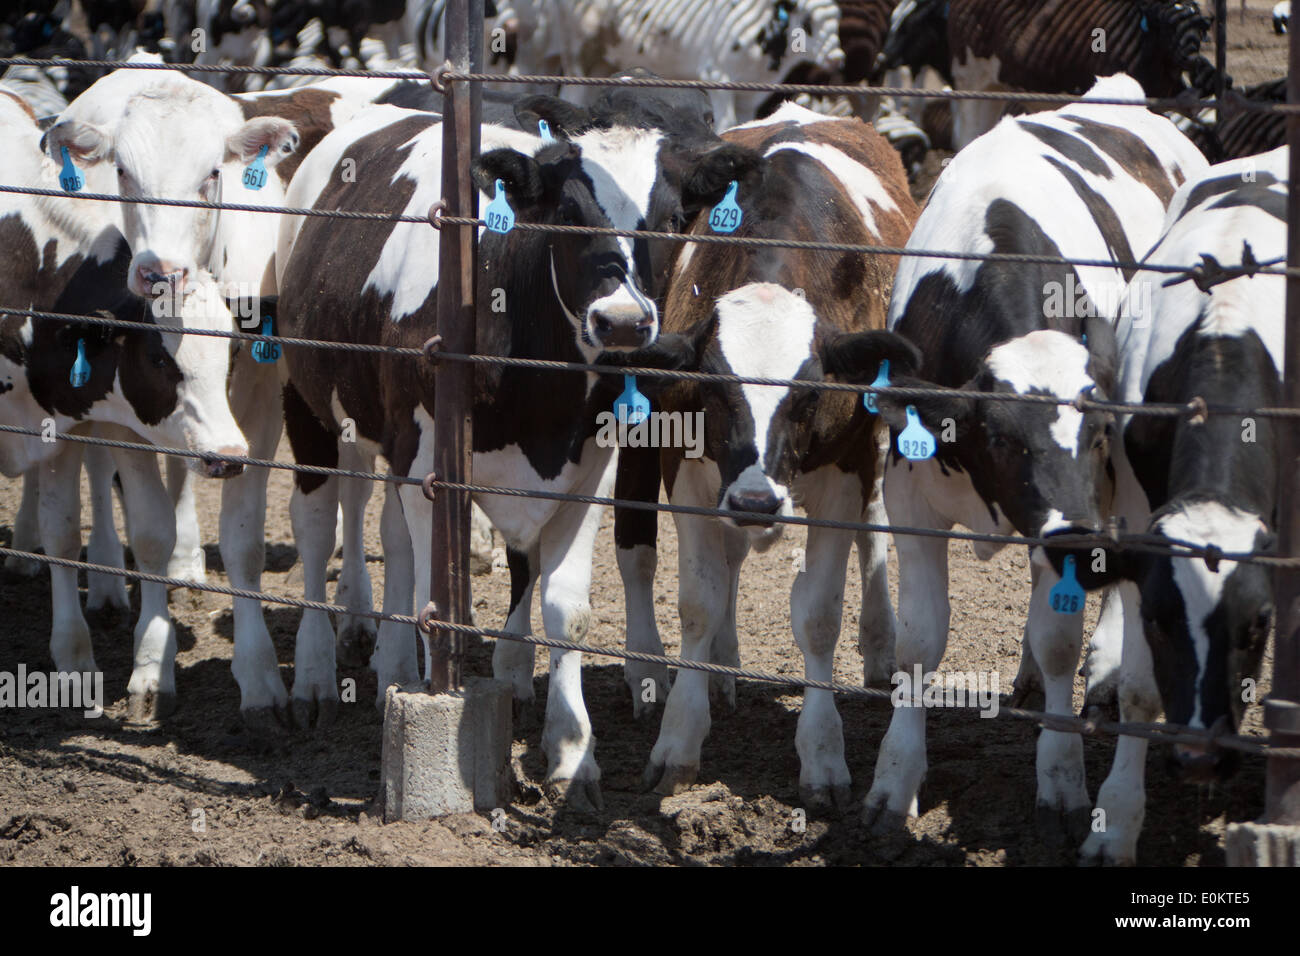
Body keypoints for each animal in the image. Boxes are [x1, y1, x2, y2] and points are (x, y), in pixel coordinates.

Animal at [276, 89, 733, 806]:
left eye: (673, 217)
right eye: (568, 213)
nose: (622, 322)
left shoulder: (587, 470)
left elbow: (564, 608)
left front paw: (573, 755)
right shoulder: (426, 462)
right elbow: (435, 592)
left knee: (395, 542)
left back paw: (393, 666)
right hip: (308, 397)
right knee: (319, 526)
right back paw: (319, 677)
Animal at [613, 102, 920, 806]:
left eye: (808, 394)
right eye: (713, 389)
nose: (755, 497)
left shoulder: (844, 470)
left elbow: (820, 614)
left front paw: (824, 755)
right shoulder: (691, 470)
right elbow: (699, 597)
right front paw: (679, 740)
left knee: (876, 527)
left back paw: (881, 643)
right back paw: (723, 665)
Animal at [1071, 147, 1284, 868]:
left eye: (1257, 626)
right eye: (1161, 622)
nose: (1197, 758)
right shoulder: (1143, 517)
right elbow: (1142, 685)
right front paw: (1116, 823)